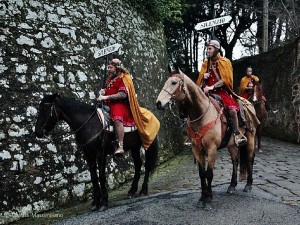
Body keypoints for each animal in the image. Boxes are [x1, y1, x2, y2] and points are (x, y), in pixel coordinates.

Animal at [156, 66, 256, 210]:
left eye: (174, 82)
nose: (158, 103)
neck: (201, 114)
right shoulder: (197, 150)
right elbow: (201, 173)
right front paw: (202, 197)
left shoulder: (212, 149)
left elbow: (209, 173)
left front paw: (209, 198)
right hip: (231, 144)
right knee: (235, 160)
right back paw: (232, 185)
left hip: (251, 138)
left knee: (249, 159)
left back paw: (248, 184)